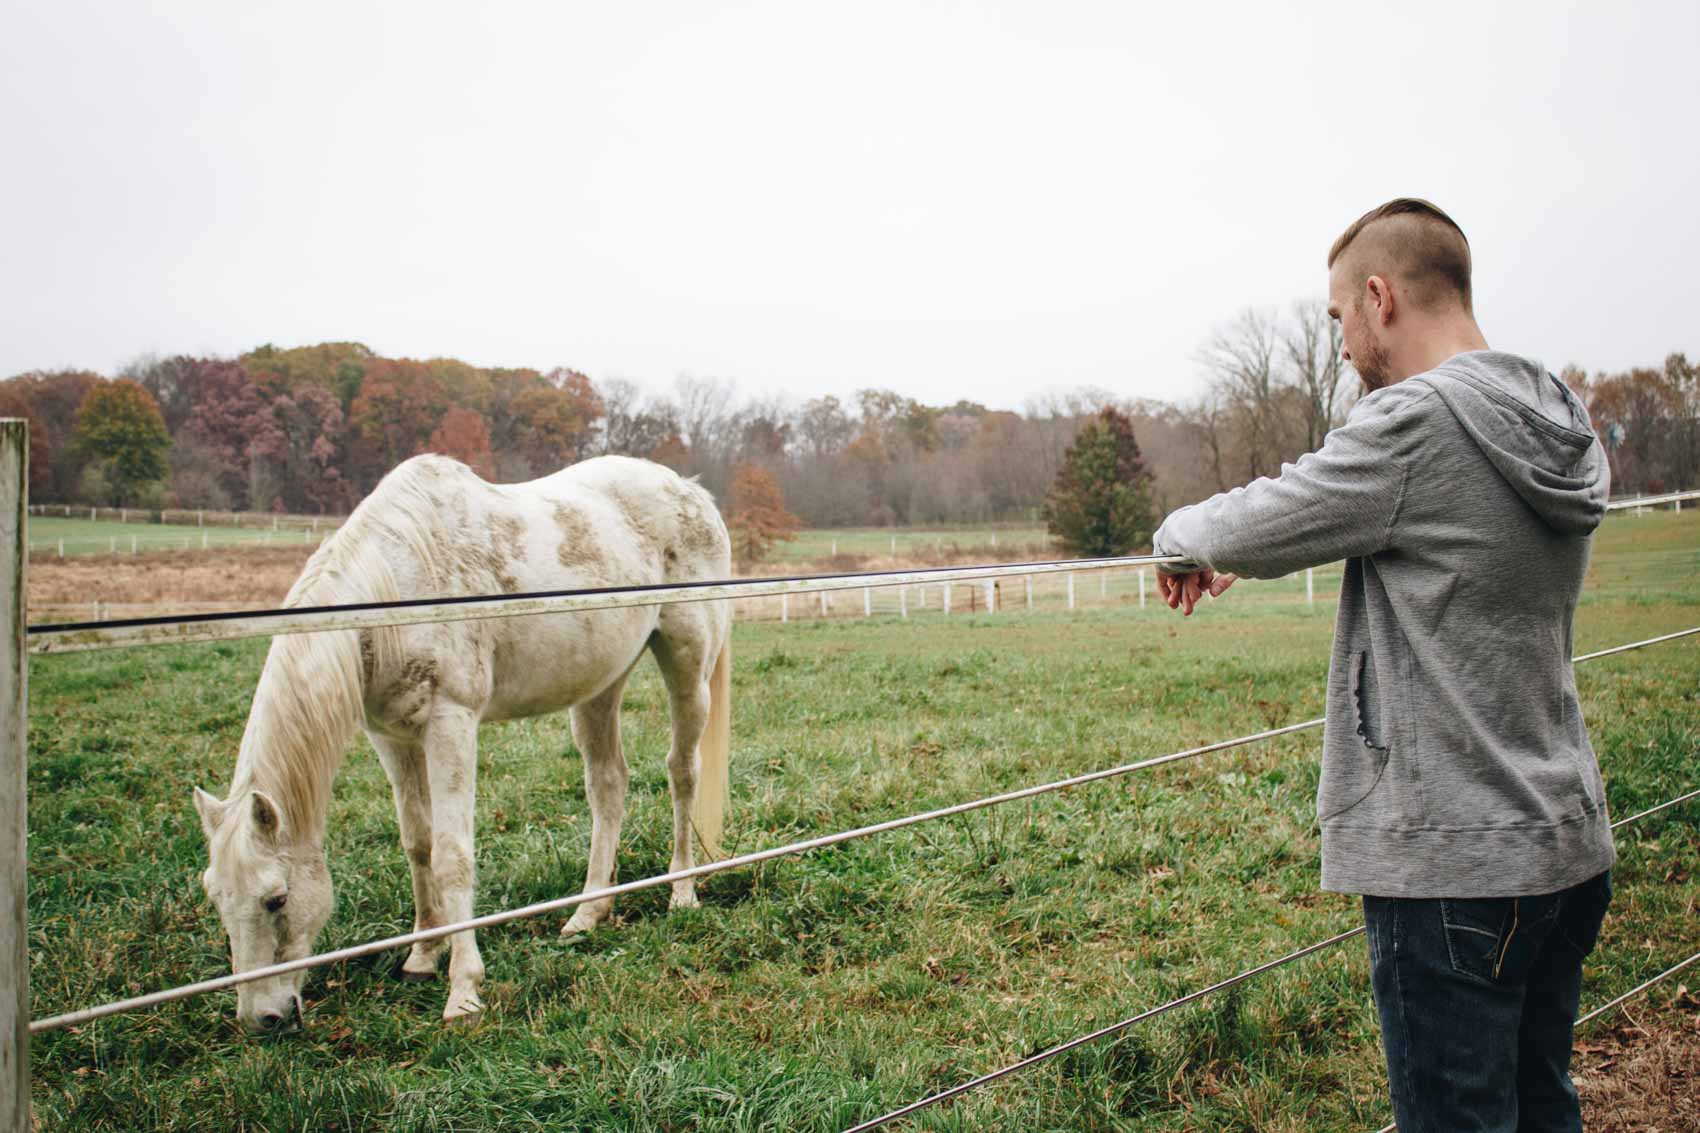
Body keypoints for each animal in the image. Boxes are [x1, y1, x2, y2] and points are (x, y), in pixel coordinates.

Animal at [191, 449, 731, 1020]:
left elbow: (453, 855)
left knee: (682, 773)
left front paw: (464, 989)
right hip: (601, 685)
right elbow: (419, 844)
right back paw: (587, 914)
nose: (261, 1019)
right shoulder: (393, 740)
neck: (396, 588)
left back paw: (682, 890)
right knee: (608, 786)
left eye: (276, 898)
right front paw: (423, 953)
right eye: (215, 897)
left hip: (687, 666)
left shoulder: (451, 725)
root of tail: (692, 491)